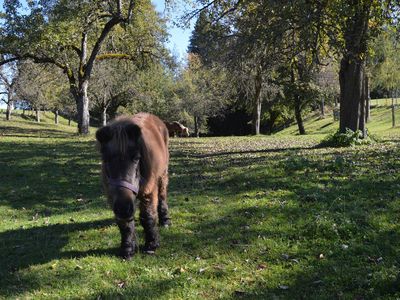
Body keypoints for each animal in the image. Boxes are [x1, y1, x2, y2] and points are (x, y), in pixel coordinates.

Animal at [97, 113, 172, 258]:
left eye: (136, 158)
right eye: (106, 160)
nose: (123, 208)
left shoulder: (148, 191)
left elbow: (148, 217)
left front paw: (151, 245)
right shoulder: (112, 196)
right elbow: (124, 224)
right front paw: (127, 248)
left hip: (162, 175)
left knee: (162, 196)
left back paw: (165, 220)